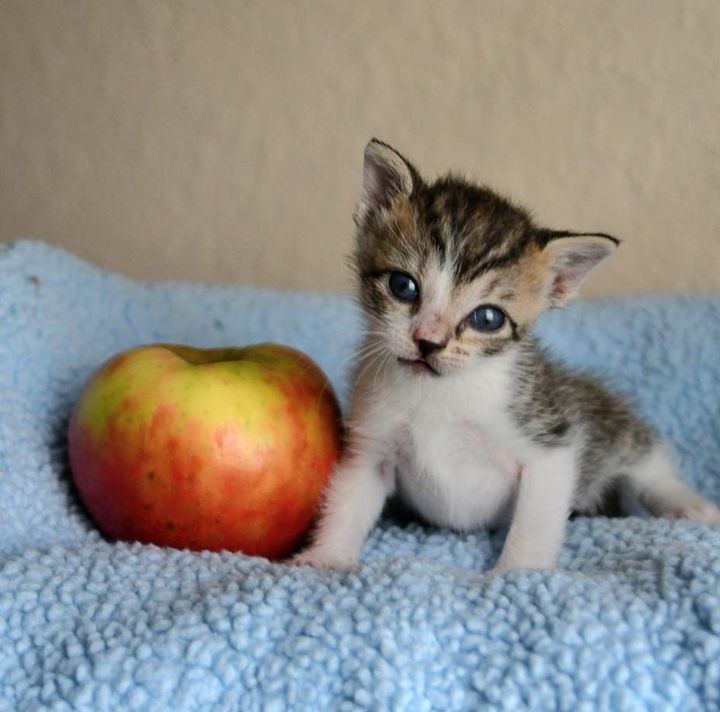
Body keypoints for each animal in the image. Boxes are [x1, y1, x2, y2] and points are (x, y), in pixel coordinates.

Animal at [292, 139, 720, 572]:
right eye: (402, 285)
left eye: (488, 318)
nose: (428, 342)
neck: (443, 392)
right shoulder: (372, 444)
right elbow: (349, 499)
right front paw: (325, 558)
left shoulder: (550, 442)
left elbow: (534, 520)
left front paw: (517, 573)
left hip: (595, 410)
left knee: (646, 460)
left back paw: (689, 504)